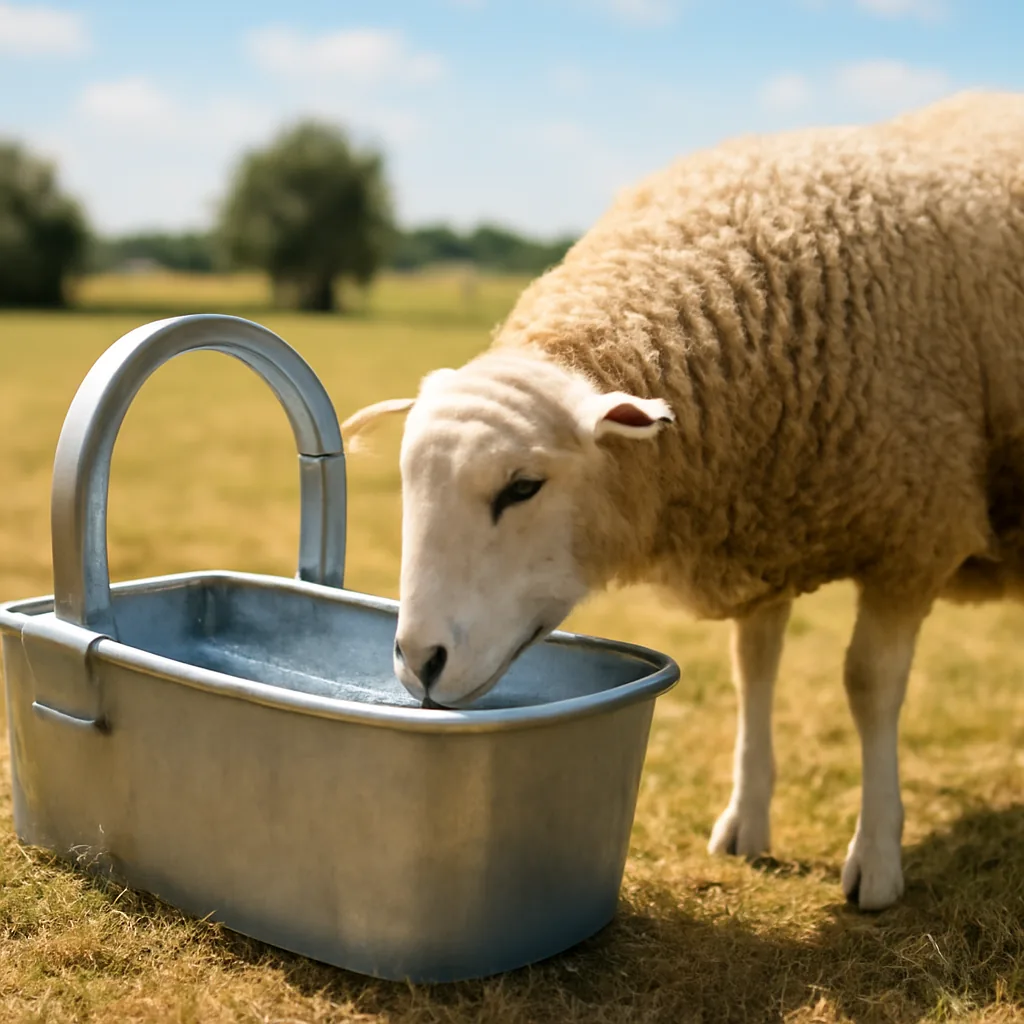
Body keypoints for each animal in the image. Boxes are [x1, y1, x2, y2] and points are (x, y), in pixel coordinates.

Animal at [342, 90, 1024, 911]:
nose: (420, 662)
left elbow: (868, 685)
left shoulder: (915, 530)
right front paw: (745, 823)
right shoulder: (769, 515)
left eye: (522, 487)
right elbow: (753, 667)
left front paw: (877, 860)